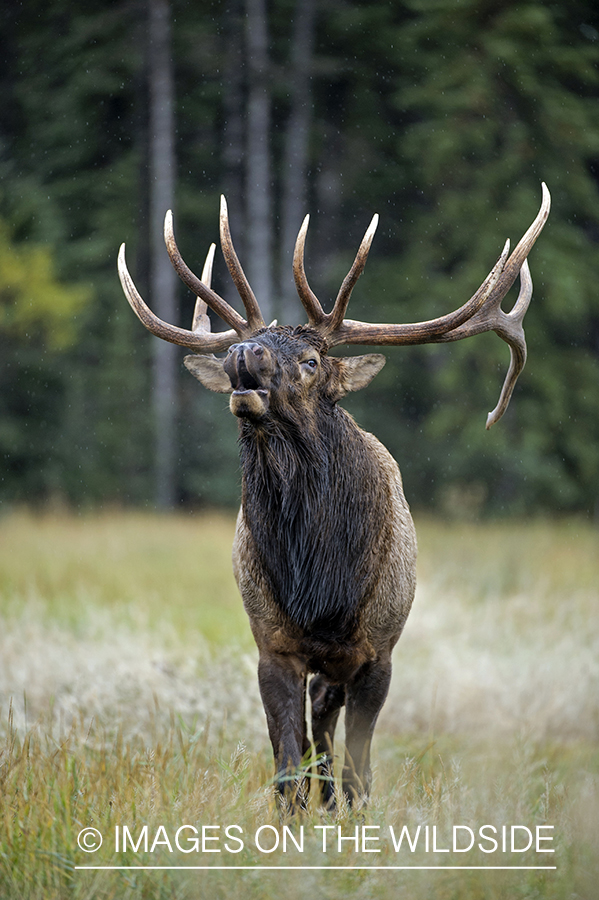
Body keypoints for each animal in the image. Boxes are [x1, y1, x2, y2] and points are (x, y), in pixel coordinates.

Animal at [118, 183, 552, 808]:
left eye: (311, 360)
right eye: (247, 348)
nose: (243, 354)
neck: (320, 584)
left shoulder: (379, 650)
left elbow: (360, 765)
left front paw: (353, 810)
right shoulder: (272, 643)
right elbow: (285, 762)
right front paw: (297, 811)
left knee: (330, 720)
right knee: (315, 724)